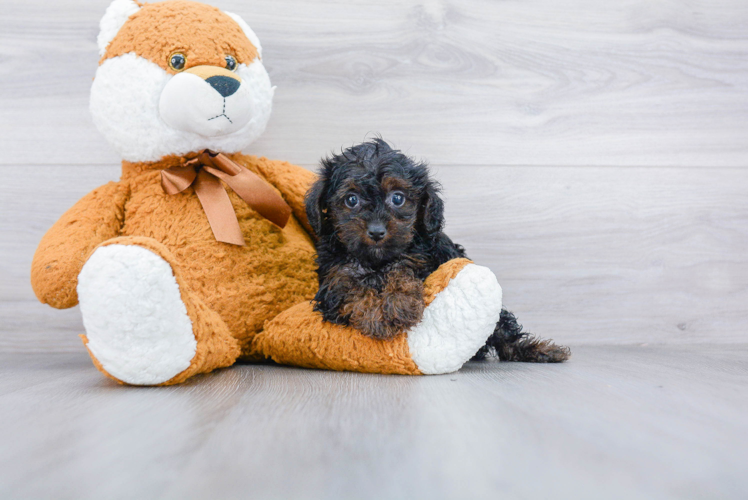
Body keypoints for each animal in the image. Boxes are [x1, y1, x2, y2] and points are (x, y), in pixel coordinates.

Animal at [304, 139, 568, 362]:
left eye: (397, 198)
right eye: (351, 200)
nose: (377, 231)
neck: (376, 261)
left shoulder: (426, 261)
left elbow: (402, 270)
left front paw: (397, 304)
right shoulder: (334, 278)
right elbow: (352, 290)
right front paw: (377, 317)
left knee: (505, 335)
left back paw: (542, 351)